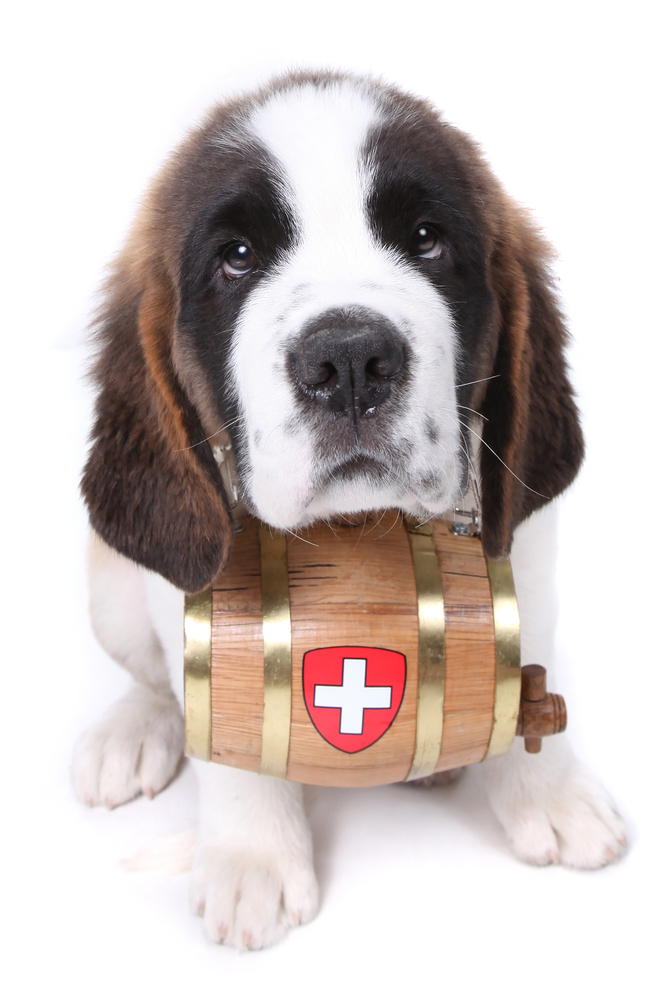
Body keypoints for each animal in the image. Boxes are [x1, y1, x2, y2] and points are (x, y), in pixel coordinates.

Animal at [75, 68, 628, 944]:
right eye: (236, 258)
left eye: (427, 239)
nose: (349, 361)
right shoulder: (194, 599)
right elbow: (219, 729)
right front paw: (251, 856)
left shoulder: (518, 561)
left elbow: (521, 667)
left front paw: (548, 792)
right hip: (110, 591)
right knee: (158, 680)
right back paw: (131, 733)